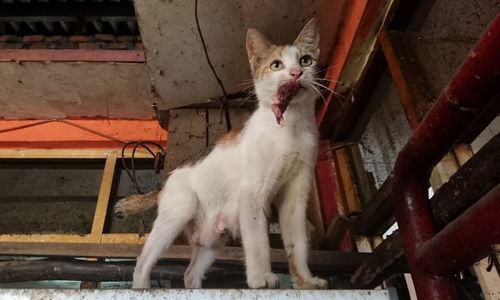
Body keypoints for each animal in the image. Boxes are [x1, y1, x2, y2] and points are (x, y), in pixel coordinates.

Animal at [115, 17, 330, 290]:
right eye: (276, 65)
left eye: (305, 60)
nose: (296, 73)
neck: (291, 125)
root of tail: (167, 180)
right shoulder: (252, 195)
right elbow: (258, 242)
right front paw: (260, 278)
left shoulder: (295, 198)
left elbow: (297, 243)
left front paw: (305, 280)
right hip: (178, 211)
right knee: (142, 262)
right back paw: (142, 287)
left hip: (213, 239)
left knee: (190, 274)